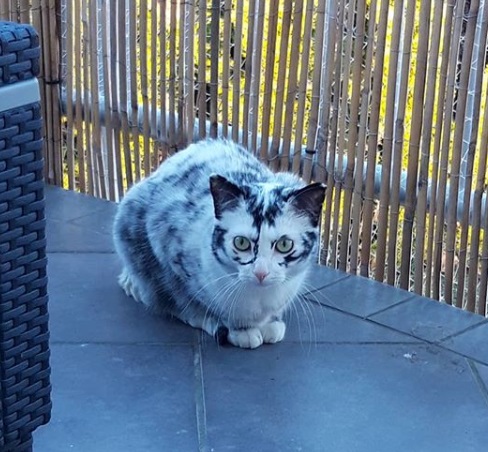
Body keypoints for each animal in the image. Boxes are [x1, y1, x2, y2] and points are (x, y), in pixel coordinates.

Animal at [113, 139, 326, 348]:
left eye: (284, 245)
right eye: (241, 242)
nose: (260, 273)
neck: (259, 299)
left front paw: (272, 323)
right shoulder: (166, 246)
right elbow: (185, 299)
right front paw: (238, 329)